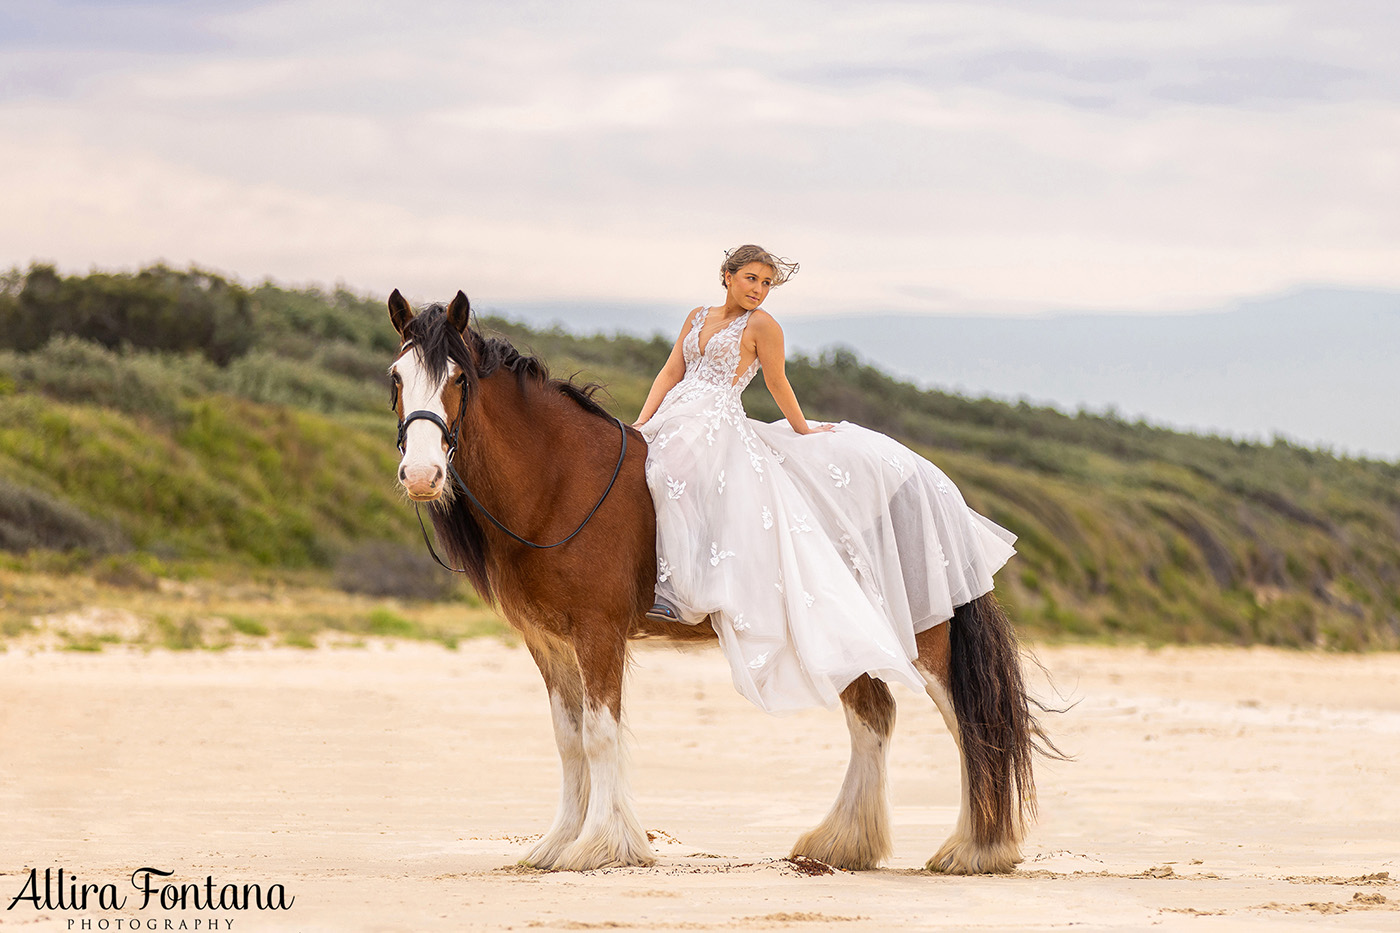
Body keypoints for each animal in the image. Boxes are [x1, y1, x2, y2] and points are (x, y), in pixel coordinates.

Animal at [386, 291, 1052, 874]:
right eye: (396, 378)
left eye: (458, 379)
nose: (420, 475)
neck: (563, 482)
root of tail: (927, 475)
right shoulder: (547, 641)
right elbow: (569, 739)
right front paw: (556, 845)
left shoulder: (598, 634)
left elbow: (601, 735)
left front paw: (601, 846)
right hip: (843, 635)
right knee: (873, 718)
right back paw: (841, 844)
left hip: (927, 637)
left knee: (969, 728)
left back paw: (975, 851)